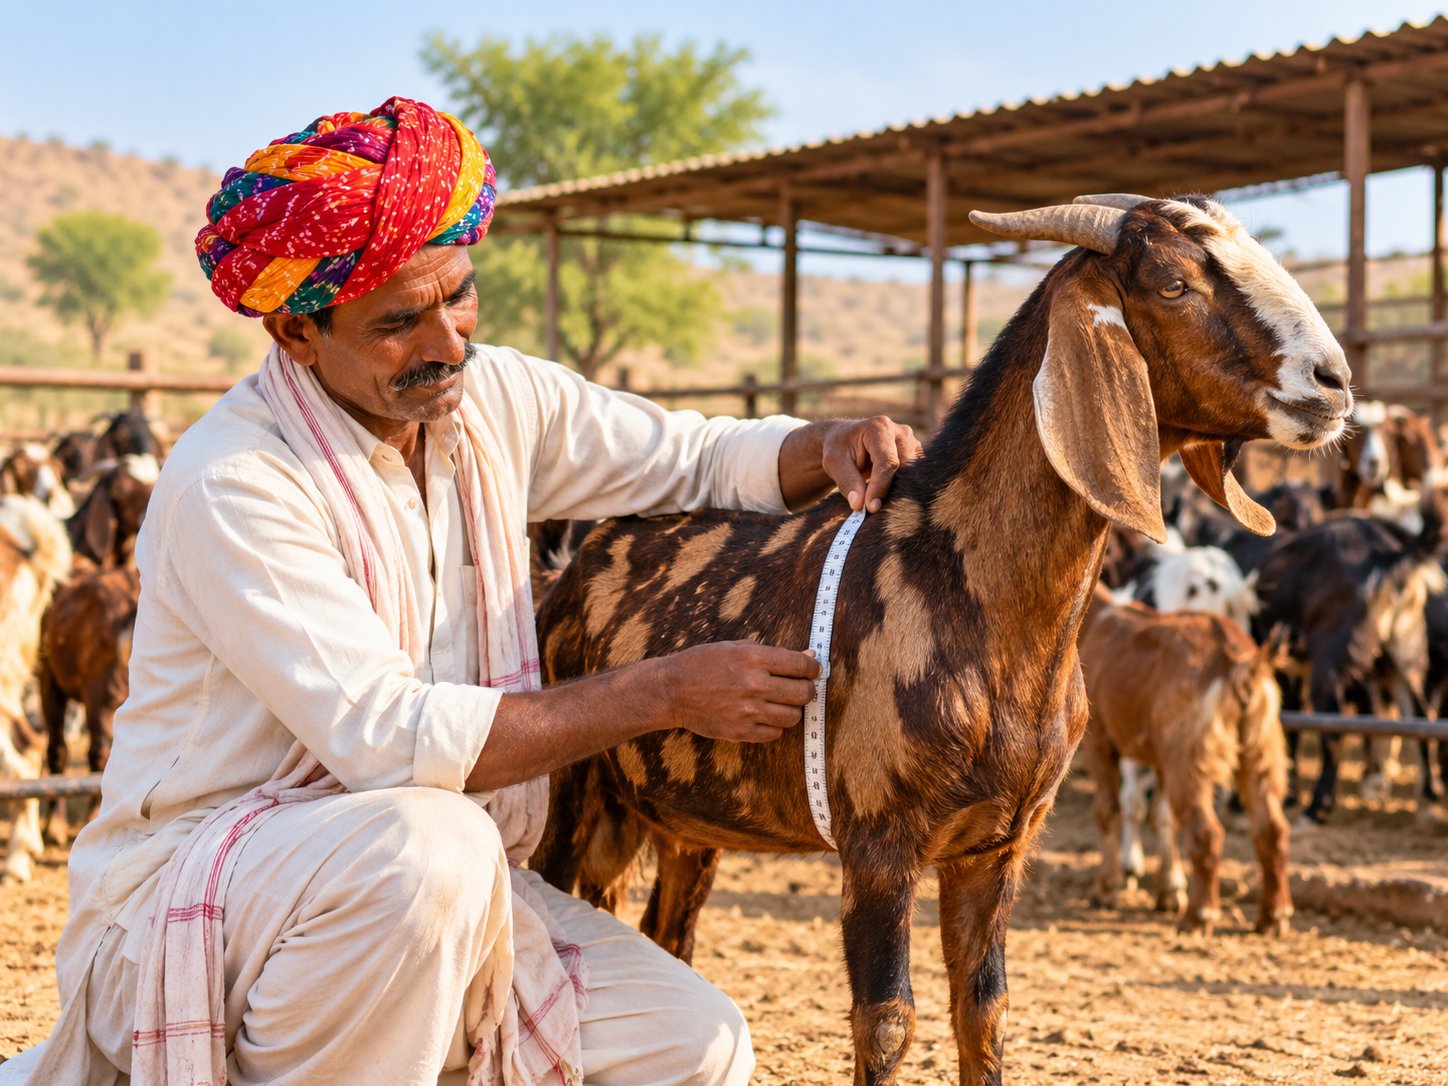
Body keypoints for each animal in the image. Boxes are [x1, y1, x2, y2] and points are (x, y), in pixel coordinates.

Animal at [1079, 585, 1291, 934]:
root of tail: (1241, 663)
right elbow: (1163, 817)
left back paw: (1199, 915)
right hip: (1259, 745)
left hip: (1191, 751)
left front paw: (1105, 889)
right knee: (1270, 827)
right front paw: (1169, 892)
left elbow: (1107, 810)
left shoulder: (1099, 740)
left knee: (1206, 830)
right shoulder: (1161, 756)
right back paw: (1273, 917)